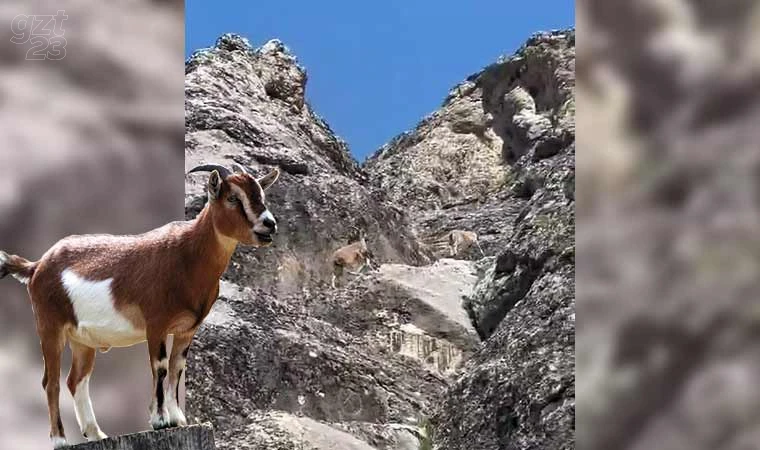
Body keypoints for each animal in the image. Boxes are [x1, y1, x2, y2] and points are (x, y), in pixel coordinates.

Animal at [0, 163, 280, 448]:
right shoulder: (156, 323)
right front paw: (160, 420)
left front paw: (178, 419)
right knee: (52, 381)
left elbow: (177, 367)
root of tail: (35, 267)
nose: (269, 224)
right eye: (233, 197)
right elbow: (161, 366)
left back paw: (96, 433)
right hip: (50, 327)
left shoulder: (187, 329)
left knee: (75, 380)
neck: (187, 256)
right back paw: (60, 440)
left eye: (261, 194)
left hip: (82, 340)